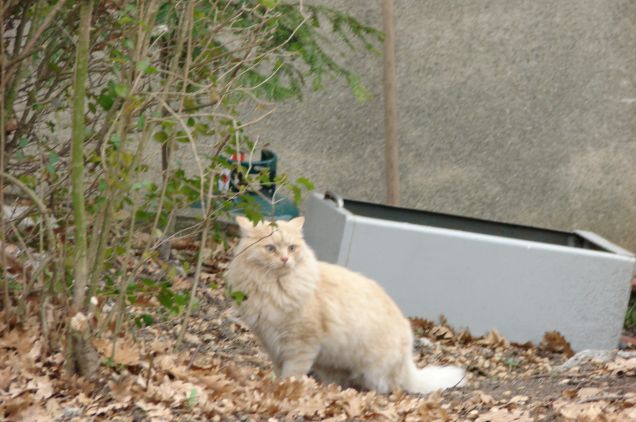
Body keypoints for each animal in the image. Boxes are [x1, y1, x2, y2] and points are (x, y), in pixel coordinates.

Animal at [226, 216, 464, 394]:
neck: (271, 287)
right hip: (330, 363)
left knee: (389, 388)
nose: (285, 259)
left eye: (292, 248)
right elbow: (278, 372)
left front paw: (286, 389)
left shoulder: (300, 345)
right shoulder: (271, 342)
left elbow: (291, 374)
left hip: (373, 370)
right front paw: (276, 386)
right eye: (271, 248)